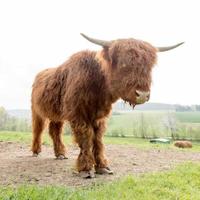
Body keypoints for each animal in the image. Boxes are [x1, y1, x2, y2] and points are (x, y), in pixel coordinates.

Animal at [30, 33, 183, 178]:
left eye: (149, 66)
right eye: (123, 64)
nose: (143, 94)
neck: (97, 83)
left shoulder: (99, 117)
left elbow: (98, 139)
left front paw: (102, 167)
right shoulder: (79, 114)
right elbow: (86, 137)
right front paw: (85, 168)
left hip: (56, 113)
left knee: (55, 131)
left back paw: (60, 154)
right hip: (36, 111)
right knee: (38, 129)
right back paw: (36, 151)